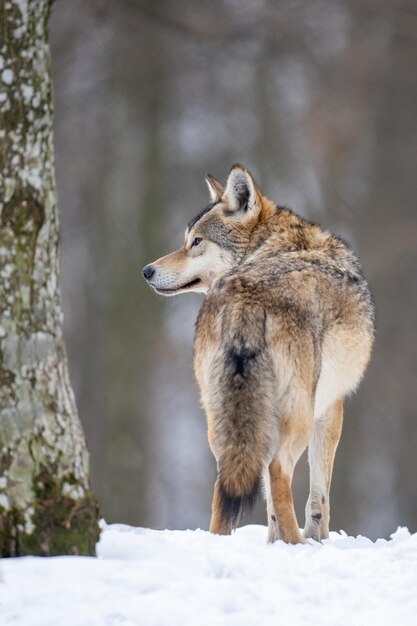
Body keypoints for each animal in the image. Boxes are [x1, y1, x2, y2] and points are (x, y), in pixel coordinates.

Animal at [142, 166, 374, 540]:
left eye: (196, 242)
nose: (146, 271)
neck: (275, 244)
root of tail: (246, 298)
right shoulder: (331, 408)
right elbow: (319, 496)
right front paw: (316, 540)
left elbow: (270, 507)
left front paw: (272, 542)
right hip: (297, 415)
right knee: (279, 471)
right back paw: (297, 545)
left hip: (223, 422)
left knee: (228, 484)